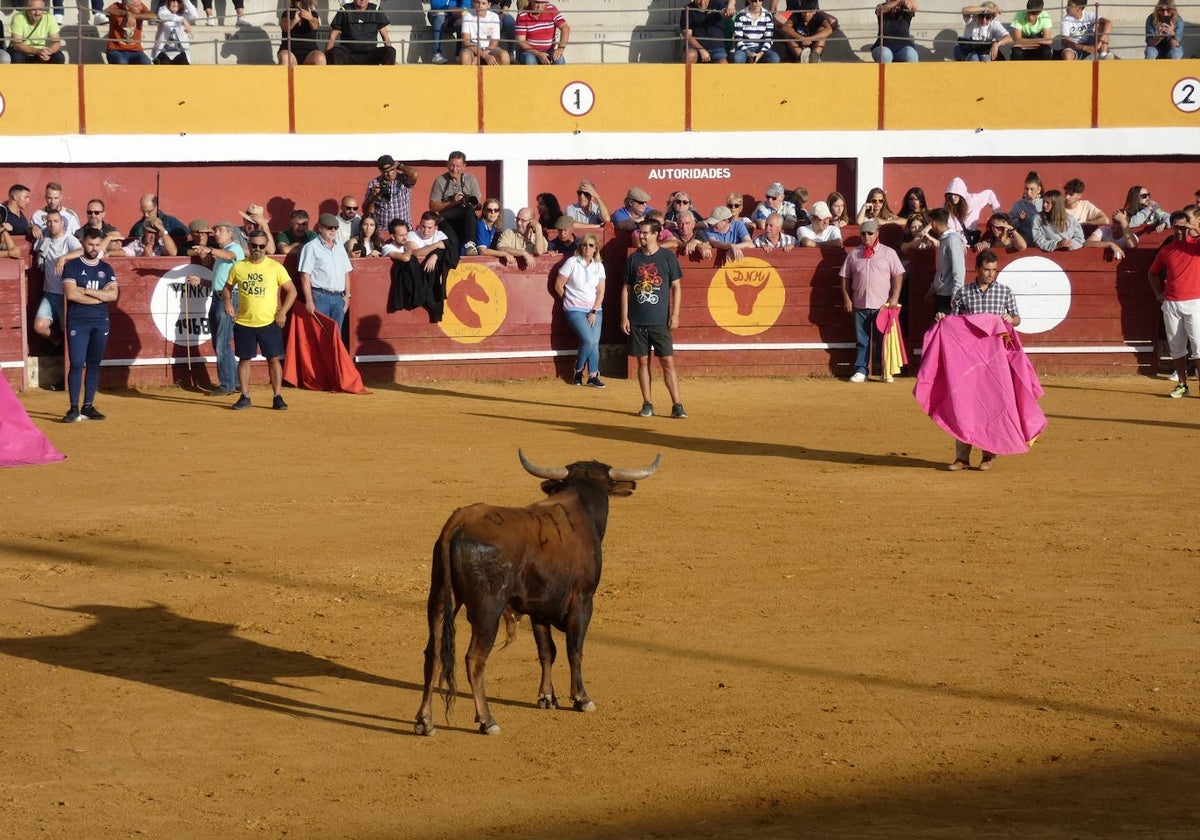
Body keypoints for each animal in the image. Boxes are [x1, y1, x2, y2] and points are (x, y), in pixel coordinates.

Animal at [410, 446, 657, 734]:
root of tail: (458, 521)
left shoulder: (539, 609)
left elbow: (547, 650)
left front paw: (547, 697)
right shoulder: (583, 602)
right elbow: (575, 649)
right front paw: (581, 699)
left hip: (439, 598)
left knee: (433, 653)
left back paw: (425, 721)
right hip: (487, 610)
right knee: (474, 658)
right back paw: (487, 720)